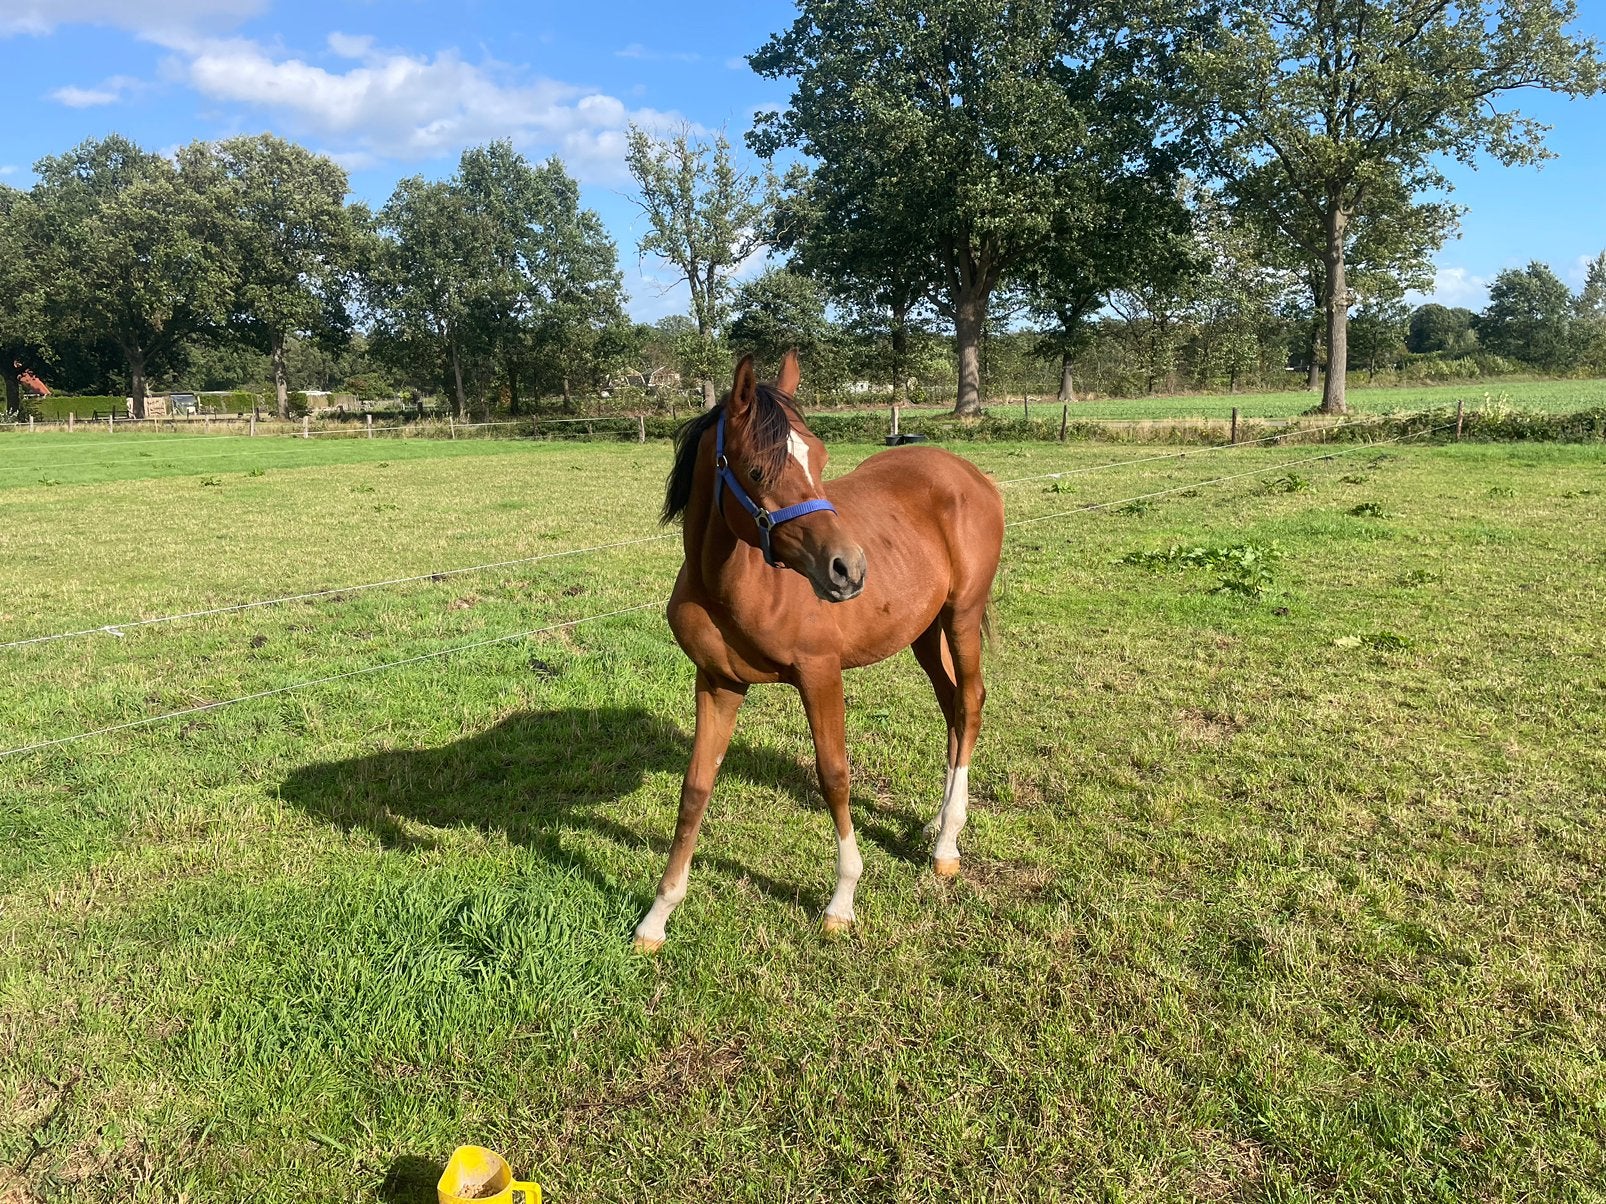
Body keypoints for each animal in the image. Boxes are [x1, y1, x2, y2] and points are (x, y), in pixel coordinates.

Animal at [633, 351, 1005, 952]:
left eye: (822, 458)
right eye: (757, 472)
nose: (849, 569)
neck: (733, 584)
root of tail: (970, 475)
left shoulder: (820, 674)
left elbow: (834, 775)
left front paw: (842, 901)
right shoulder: (717, 682)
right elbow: (695, 789)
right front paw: (657, 917)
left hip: (961, 617)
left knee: (970, 701)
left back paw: (947, 845)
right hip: (923, 633)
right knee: (952, 705)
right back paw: (939, 820)